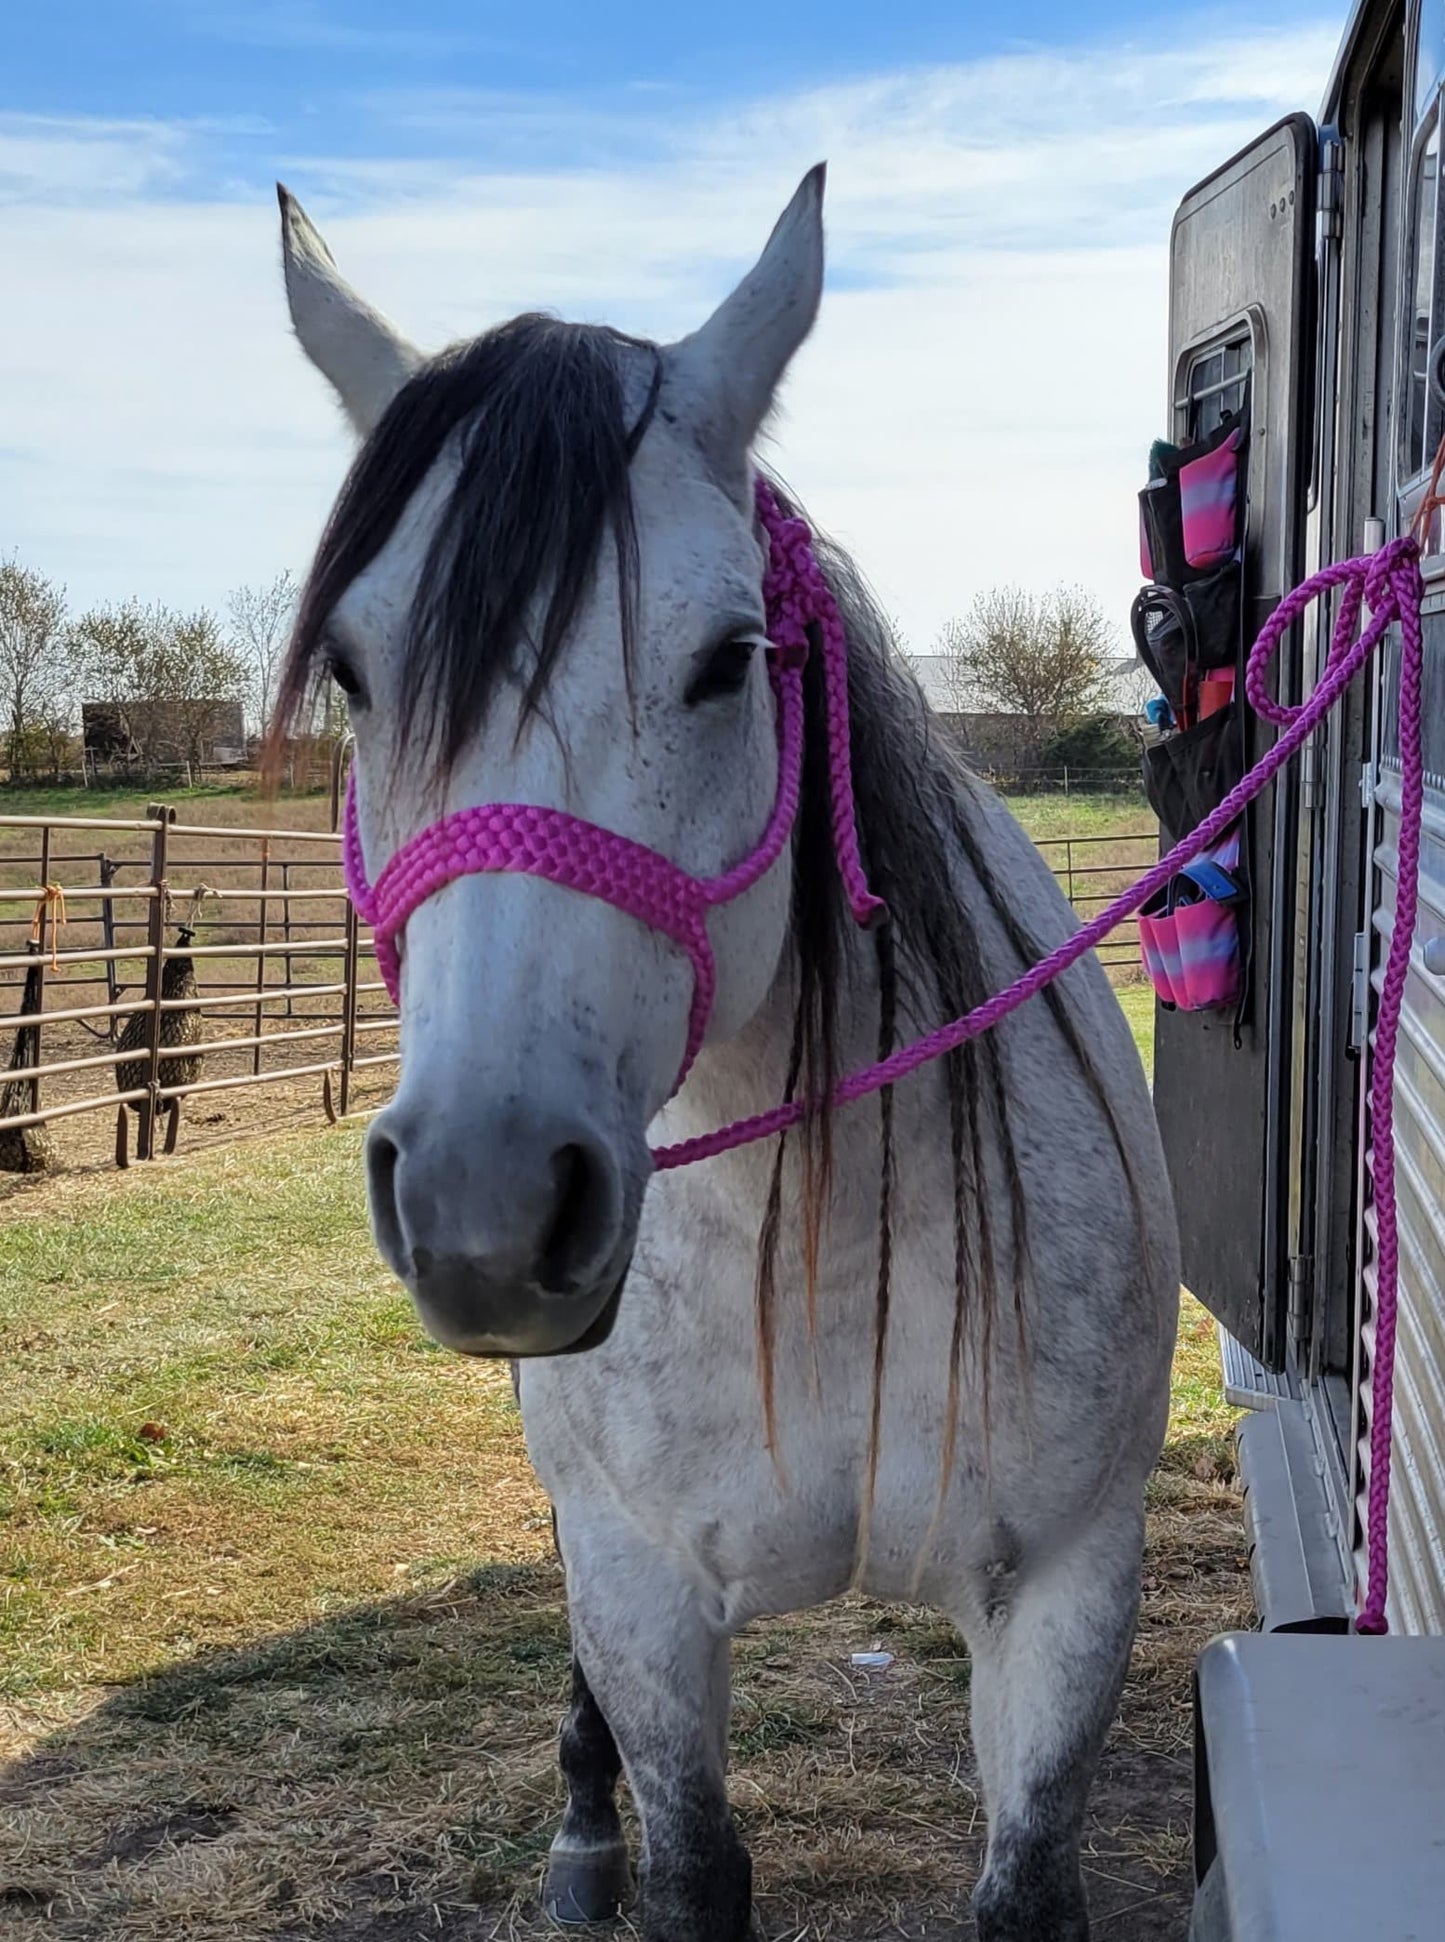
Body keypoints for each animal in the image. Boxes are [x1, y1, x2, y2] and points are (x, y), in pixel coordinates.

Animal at [271, 170, 1173, 1942]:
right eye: (352, 671)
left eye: (727, 658)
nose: (487, 1202)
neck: (827, 1252)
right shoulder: (639, 1592)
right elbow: (690, 1857)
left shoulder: (1070, 1595)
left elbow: (1028, 1873)